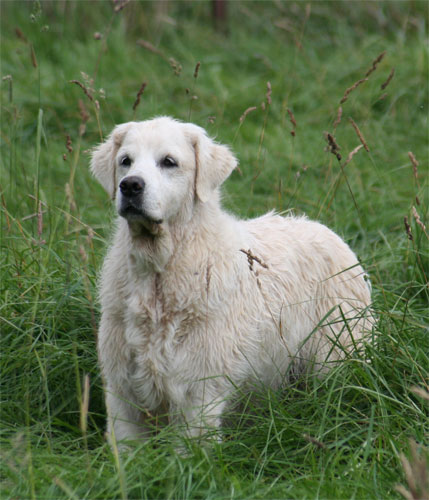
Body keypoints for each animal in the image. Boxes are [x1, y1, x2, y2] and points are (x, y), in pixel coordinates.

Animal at [90, 118, 372, 446]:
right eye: (125, 161)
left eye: (169, 162)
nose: (130, 185)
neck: (159, 274)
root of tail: (329, 232)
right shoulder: (122, 391)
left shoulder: (199, 390)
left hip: (337, 356)